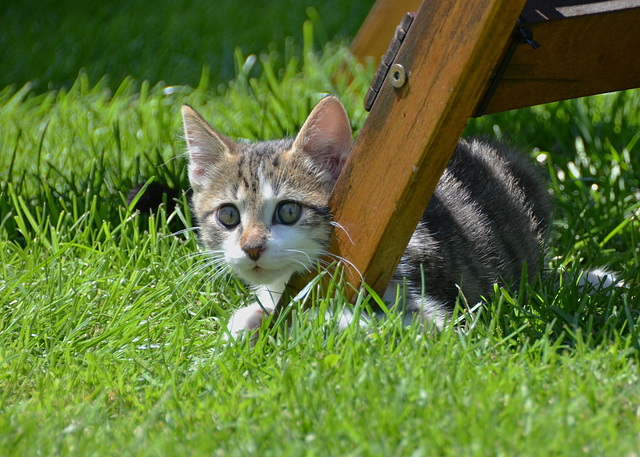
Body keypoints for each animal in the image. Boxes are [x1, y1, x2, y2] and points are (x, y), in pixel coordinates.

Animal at [181, 96, 552, 338]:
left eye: (288, 211)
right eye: (229, 215)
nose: (252, 247)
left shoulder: (429, 309)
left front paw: (290, 319)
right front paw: (254, 318)